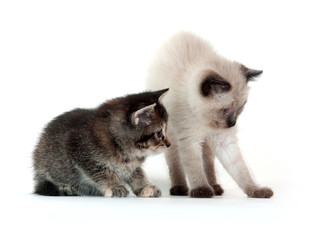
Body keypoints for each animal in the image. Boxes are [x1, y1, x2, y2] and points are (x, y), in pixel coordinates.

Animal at [32, 88, 172, 197]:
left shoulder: (132, 165)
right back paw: (66, 188)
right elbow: (102, 171)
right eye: (159, 133)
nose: (169, 144)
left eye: (166, 129)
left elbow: (137, 173)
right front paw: (115, 186)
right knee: (43, 186)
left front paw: (144, 187)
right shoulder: (79, 151)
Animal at [147, 31, 274, 198]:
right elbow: (194, 167)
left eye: (240, 108)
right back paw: (180, 188)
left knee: (207, 161)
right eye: (225, 110)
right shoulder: (189, 140)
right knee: (175, 161)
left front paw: (256, 191)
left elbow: (241, 170)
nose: (232, 123)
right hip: (172, 136)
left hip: (207, 145)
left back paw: (215, 186)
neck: (205, 121)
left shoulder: (224, 140)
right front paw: (201, 190)